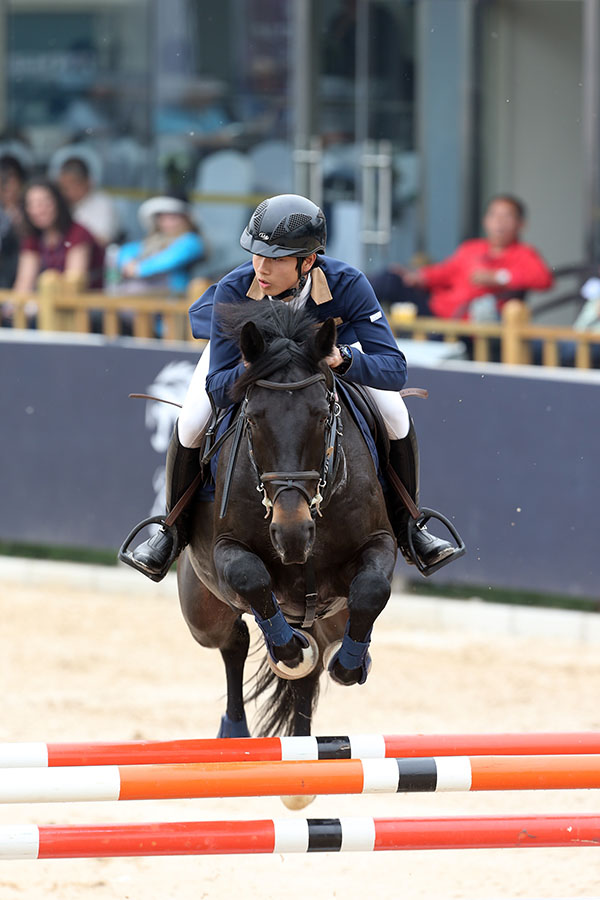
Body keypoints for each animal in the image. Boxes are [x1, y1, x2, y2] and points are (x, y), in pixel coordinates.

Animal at [177, 299, 397, 745]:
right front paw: (289, 651)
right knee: (234, 640)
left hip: (329, 613)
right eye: (252, 419)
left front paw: (351, 664)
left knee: (312, 664)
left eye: (323, 415)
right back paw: (235, 729)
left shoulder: (380, 541)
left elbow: (371, 590)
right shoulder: (227, 551)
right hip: (202, 610)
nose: (293, 534)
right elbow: (251, 578)